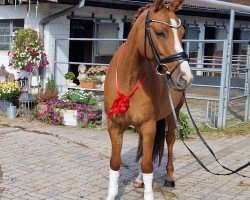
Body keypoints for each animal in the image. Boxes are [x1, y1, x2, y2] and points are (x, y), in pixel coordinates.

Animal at [103, 0, 193, 199]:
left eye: (183, 33)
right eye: (160, 33)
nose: (185, 77)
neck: (129, 80)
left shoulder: (148, 125)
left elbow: (147, 165)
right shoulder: (115, 126)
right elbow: (115, 162)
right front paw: (111, 194)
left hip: (173, 114)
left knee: (169, 141)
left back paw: (169, 178)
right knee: (145, 148)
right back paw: (139, 180)